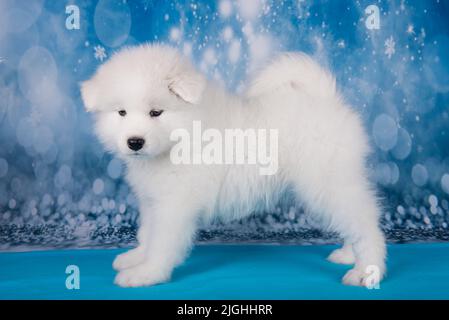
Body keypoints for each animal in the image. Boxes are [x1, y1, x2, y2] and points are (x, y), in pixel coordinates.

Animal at [81, 44, 384, 288]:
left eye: (156, 112)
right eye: (121, 112)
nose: (134, 142)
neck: (180, 135)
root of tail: (325, 98)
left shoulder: (174, 206)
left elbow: (161, 242)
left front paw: (147, 273)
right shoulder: (152, 200)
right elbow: (147, 233)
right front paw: (136, 258)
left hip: (327, 181)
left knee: (365, 222)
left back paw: (366, 270)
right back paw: (348, 254)